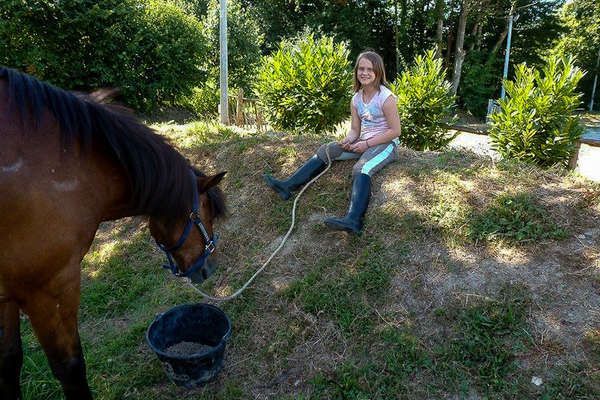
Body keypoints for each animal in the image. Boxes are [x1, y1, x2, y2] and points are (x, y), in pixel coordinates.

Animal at [0, 67, 226, 398]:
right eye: (207, 210)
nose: (209, 268)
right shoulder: (49, 289)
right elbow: (70, 368)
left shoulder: (5, 293)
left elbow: (10, 358)